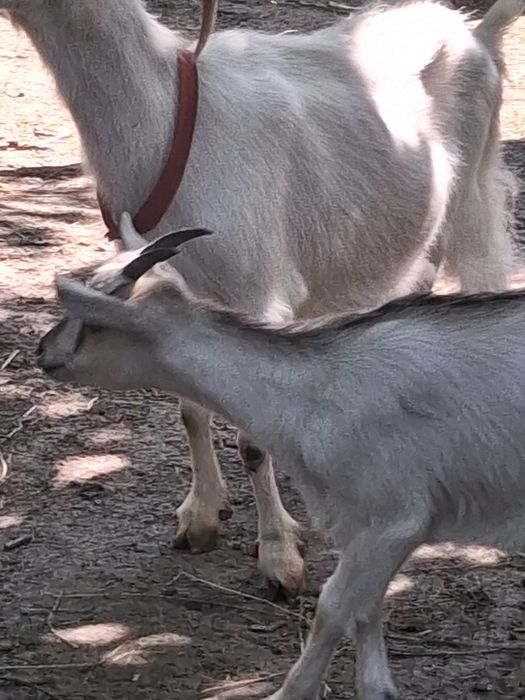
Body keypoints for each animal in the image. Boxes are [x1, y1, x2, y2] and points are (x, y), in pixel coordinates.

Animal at [4, 0, 522, 596]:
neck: (166, 120)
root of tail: (476, 33)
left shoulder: (256, 289)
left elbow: (253, 439)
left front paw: (279, 556)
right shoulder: (166, 284)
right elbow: (189, 405)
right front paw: (201, 517)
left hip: (472, 194)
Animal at [38, 220, 525, 700]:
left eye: (94, 321)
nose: (44, 352)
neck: (311, 390)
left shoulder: (394, 517)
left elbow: (334, 607)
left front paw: (291, 691)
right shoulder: (365, 526)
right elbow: (366, 608)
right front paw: (378, 689)